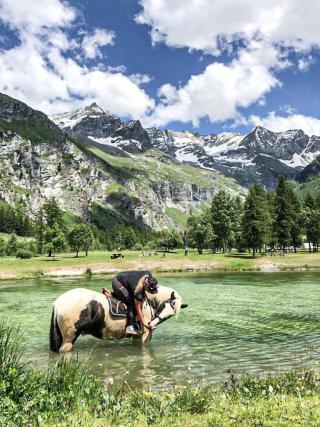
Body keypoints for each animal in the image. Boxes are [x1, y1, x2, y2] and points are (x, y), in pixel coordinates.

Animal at [49, 286, 188, 352]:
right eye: (166, 304)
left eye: (171, 314)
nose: (150, 324)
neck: (147, 301)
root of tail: (58, 302)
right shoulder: (145, 334)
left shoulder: (137, 336)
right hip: (69, 338)